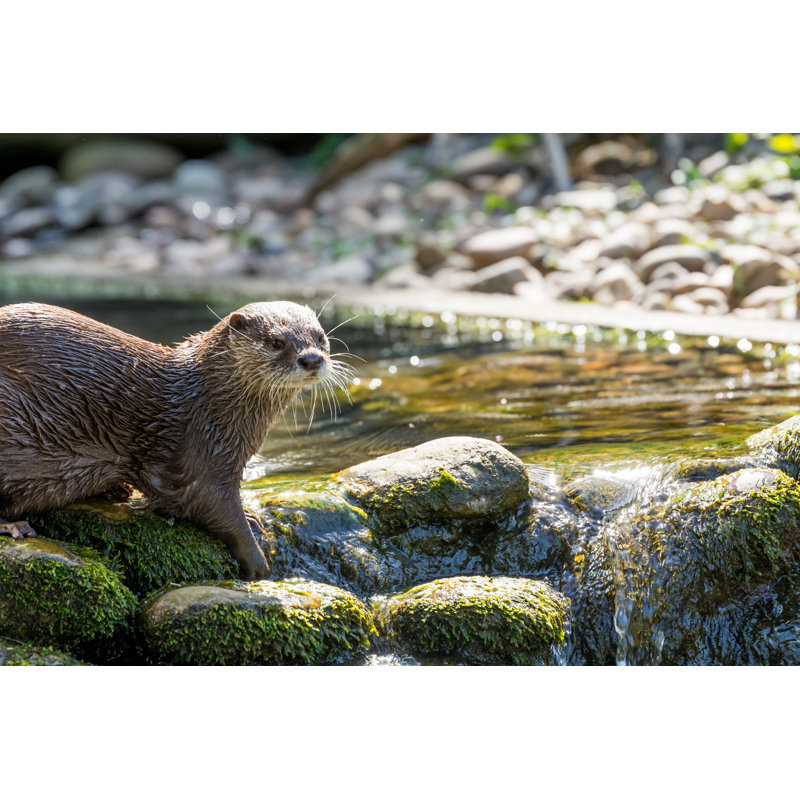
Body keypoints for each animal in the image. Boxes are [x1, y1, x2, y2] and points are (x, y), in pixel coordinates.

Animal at [0, 301, 341, 580]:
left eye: (320, 337)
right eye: (276, 341)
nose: (312, 359)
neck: (210, 399)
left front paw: (251, 517)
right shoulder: (203, 450)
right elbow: (214, 507)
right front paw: (258, 564)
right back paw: (14, 526)